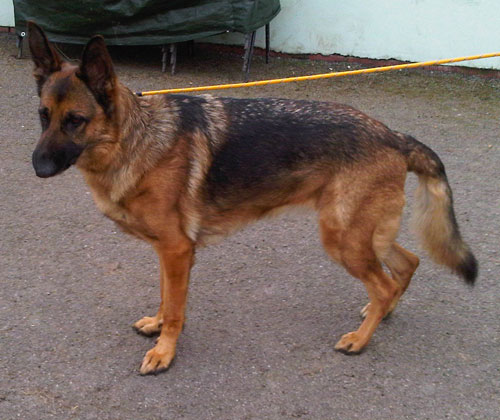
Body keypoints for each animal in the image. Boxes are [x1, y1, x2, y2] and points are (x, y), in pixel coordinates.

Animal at [27, 23, 476, 374]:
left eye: (76, 121)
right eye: (43, 116)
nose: (37, 167)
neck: (135, 138)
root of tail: (392, 135)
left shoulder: (176, 250)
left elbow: (176, 309)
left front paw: (164, 352)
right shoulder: (167, 252)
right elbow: (165, 297)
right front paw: (156, 324)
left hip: (343, 238)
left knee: (383, 283)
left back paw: (360, 339)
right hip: (363, 233)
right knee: (406, 264)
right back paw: (382, 314)